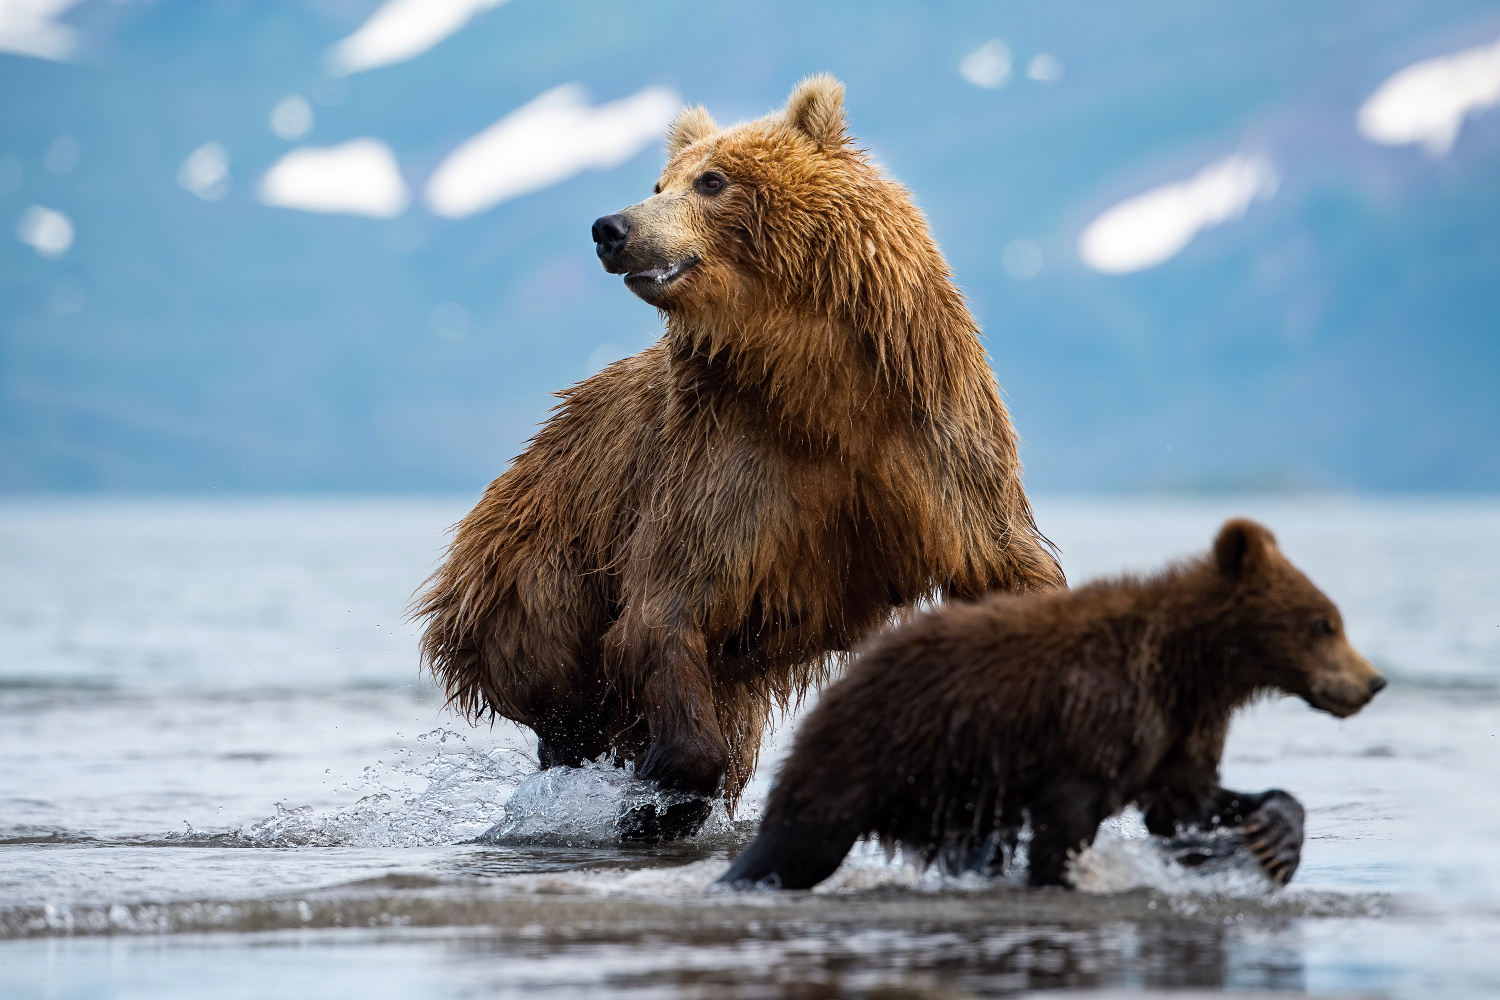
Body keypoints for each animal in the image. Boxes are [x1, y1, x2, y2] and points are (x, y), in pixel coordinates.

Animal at [417, 76, 1062, 839]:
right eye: (659, 181)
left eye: (712, 181)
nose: (612, 228)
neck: (814, 384)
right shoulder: (727, 464)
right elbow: (665, 611)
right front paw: (659, 790)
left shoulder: (933, 443)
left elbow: (1002, 565)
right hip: (533, 561)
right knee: (551, 672)